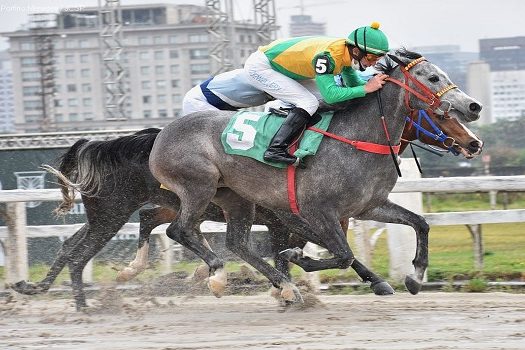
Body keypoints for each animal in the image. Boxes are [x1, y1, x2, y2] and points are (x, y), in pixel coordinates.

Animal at [149, 49, 482, 304]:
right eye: (433, 78)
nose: (473, 106)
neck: (357, 140)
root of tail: (162, 134)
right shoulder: (314, 211)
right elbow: (343, 253)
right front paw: (300, 258)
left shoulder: (368, 206)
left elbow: (420, 223)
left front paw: (415, 277)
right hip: (198, 186)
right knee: (179, 230)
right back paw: (218, 274)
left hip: (235, 198)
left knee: (236, 242)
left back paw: (284, 286)